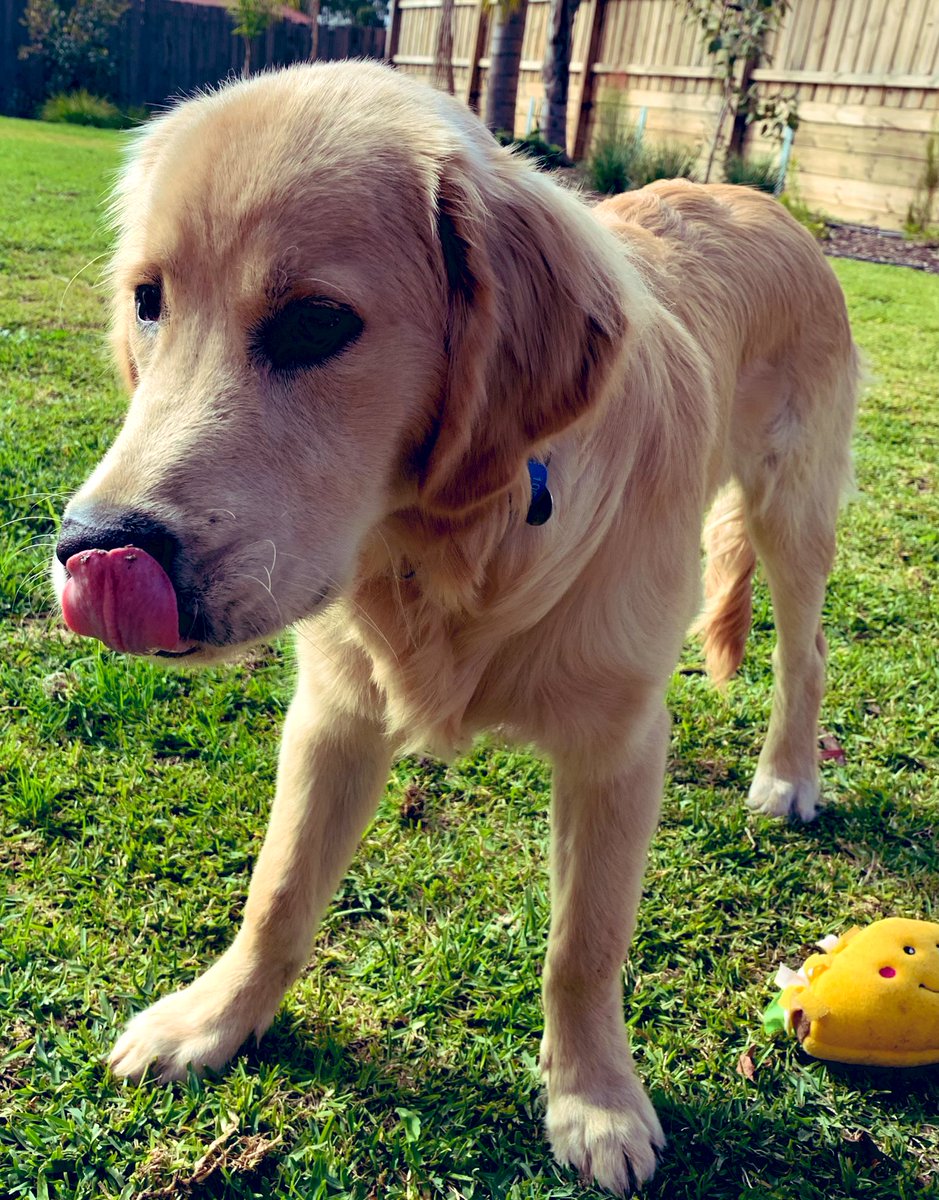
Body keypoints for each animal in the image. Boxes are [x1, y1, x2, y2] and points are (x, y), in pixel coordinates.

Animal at [51, 63, 859, 1190]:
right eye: (147, 300)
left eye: (316, 323)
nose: (93, 547)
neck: (446, 552)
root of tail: (761, 200)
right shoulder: (335, 712)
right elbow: (278, 892)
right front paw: (213, 1019)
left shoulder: (617, 743)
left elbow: (583, 946)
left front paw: (595, 1102)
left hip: (794, 506)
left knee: (805, 653)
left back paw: (787, 776)